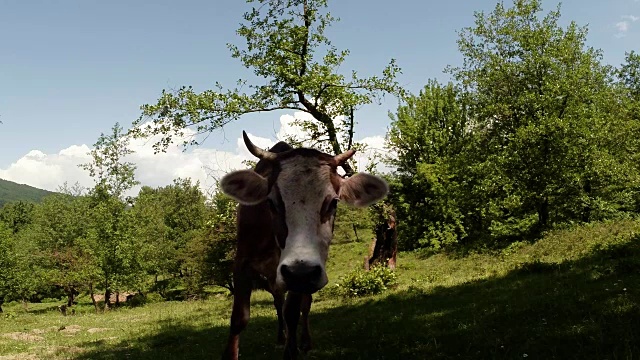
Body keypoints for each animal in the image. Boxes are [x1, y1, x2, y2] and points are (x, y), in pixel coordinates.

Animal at [220, 132, 390, 360]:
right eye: (271, 202)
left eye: (334, 202)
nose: (301, 272)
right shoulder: (242, 262)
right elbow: (239, 317)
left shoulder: (302, 273)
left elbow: (292, 312)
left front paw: (292, 350)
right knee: (278, 301)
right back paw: (281, 336)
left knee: (304, 305)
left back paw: (304, 341)